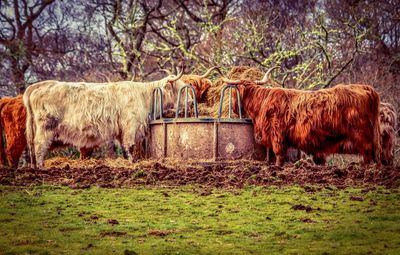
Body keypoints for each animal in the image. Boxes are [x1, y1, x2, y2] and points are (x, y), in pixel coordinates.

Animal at [225, 74, 382, 165]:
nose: (233, 109)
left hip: (362, 137)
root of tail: (367, 88)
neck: (262, 102)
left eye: (233, 92)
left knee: (367, 154)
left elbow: (279, 156)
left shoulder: (277, 136)